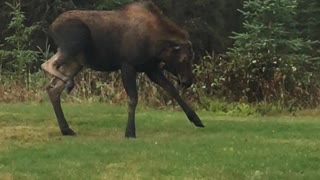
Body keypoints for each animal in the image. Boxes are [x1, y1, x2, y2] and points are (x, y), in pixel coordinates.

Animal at [41, 0, 204, 138]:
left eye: (191, 58)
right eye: (184, 59)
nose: (187, 81)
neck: (156, 46)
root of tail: (51, 27)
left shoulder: (151, 69)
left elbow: (172, 90)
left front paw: (196, 119)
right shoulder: (127, 65)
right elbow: (133, 98)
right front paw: (130, 132)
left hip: (75, 62)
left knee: (53, 88)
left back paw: (66, 129)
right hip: (74, 43)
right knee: (47, 65)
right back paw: (69, 85)